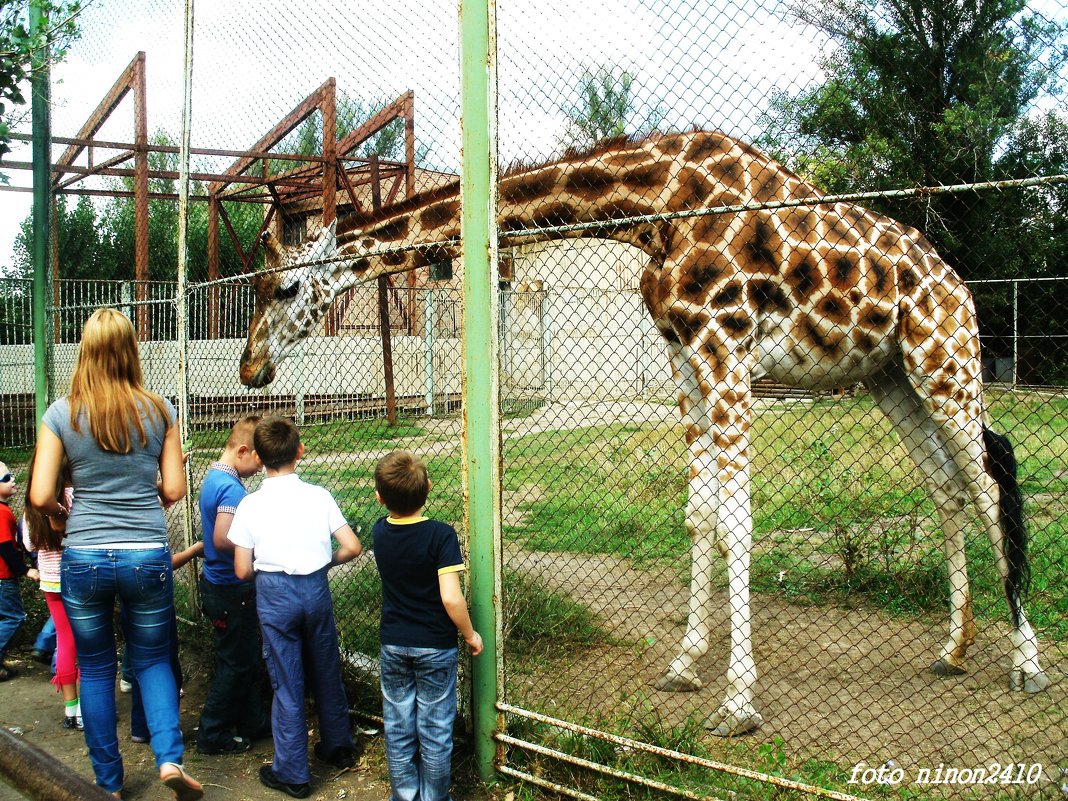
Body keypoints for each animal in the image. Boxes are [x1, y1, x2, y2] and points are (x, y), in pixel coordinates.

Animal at [238, 128, 1046, 739]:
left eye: (285, 287)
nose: (251, 367)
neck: (653, 205)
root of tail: (959, 284)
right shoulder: (685, 353)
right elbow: (701, 514)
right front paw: (686, 664)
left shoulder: (725, 342)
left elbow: (738, 518)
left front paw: (738, 702)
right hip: (890, 375)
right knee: (948, 488)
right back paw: (953, 647)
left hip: (945, 357)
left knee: (988, 481)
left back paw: (1027, 662)